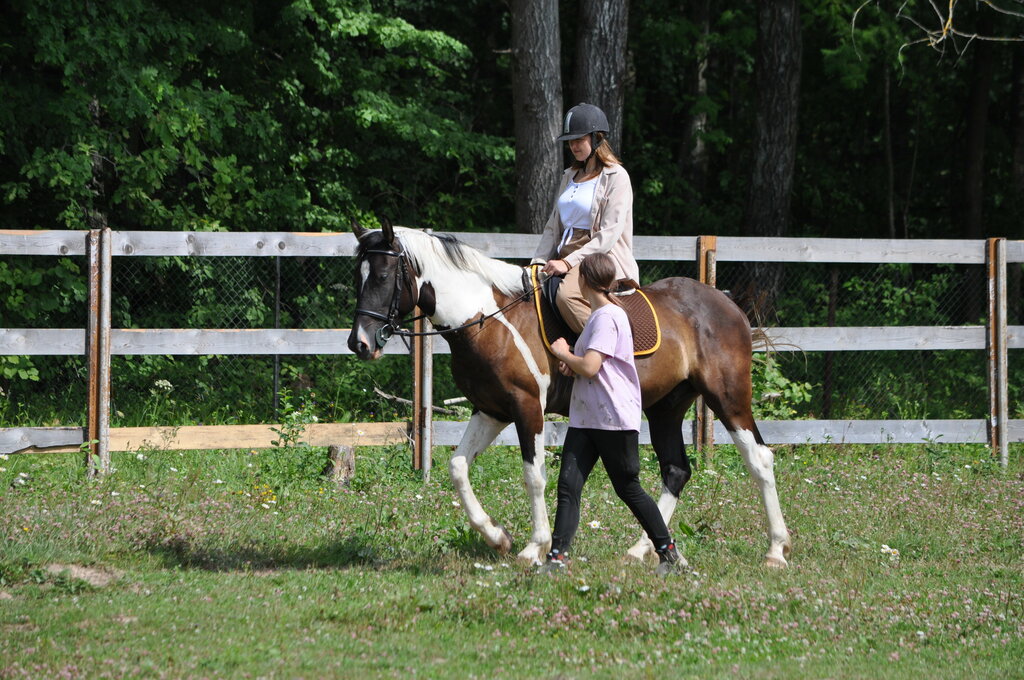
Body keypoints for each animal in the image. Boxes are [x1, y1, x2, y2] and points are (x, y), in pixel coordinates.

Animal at [346, 222, 790, 569]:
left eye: (382, 277)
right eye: (357, 277)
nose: (359, 344)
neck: (489, 320)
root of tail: (727, 304)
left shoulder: (527, 408)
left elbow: (534, 476)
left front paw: (534, 547)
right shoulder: (490, 411)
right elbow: (457, 467)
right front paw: (497, 536)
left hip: (728, 398)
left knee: (759, 460)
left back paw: (776, 549)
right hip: (666, 407)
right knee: (676, 471)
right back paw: (642, 550)